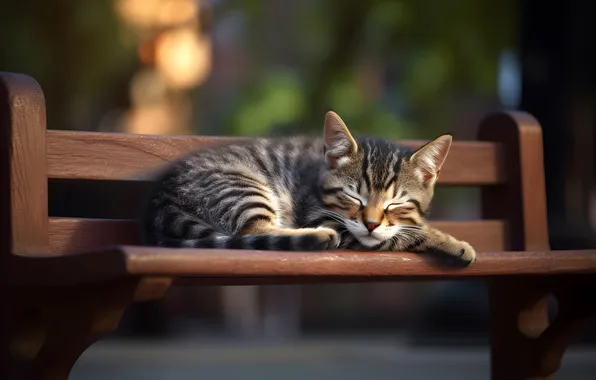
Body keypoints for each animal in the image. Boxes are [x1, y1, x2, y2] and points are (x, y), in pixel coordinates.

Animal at [142, 110, 478, 264]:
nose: (370, 224)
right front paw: (454, 243)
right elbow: (405, 236)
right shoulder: (325, 216)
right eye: (354, 196)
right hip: (241, 186)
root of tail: (160, 201)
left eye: (394, 203)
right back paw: (318, 236)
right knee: (252, 229)